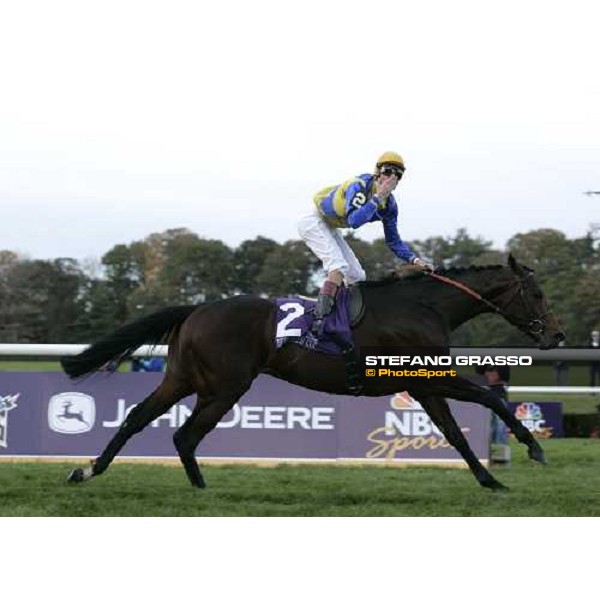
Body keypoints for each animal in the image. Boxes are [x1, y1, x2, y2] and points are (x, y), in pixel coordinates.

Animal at [59, 254, 564, 492]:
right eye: (538, 294)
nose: (557, 336)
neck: (424, 306)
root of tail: (196, 309)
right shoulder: (429, 378)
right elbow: (490, 399)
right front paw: (534, 448)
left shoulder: (421, 387)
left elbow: (456, 434)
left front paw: (491, 480)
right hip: (224, 387)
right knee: (184, 434)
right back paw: (199, 489)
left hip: (183, 380)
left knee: (137, 419)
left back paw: (88, 471)